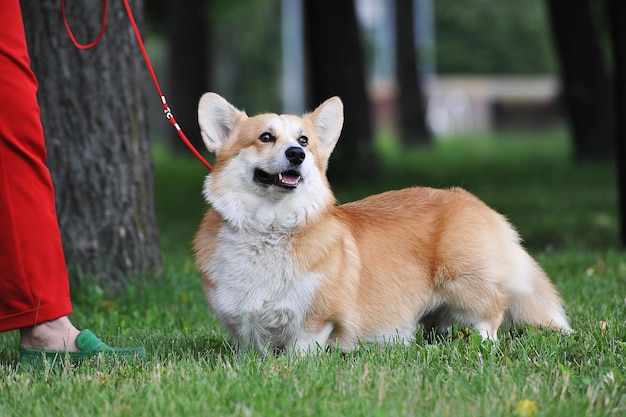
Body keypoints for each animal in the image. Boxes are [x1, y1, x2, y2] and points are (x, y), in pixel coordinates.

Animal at [191, 92, 572, 352]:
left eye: (304, 141)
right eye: (266, 137)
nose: (296, 155)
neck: (269, 227)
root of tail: (476, 203)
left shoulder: (315, 319)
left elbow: (302, 350)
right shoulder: (242, 323)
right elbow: (253, 350)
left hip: (465, 281)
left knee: (490, 314)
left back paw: (481, 343)